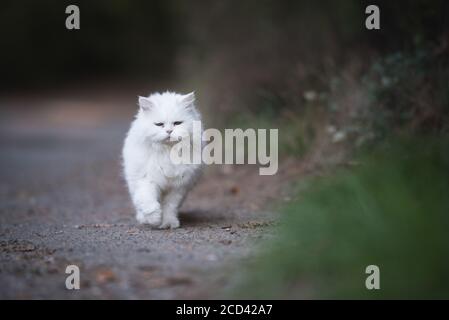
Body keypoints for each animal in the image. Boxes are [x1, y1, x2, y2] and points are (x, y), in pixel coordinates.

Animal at [121, 91, 201, 229]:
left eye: (177, 123)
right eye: (159, 124)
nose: (169, 131)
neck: (167, 153)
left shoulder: (178, 187)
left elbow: (169, 207)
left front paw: (169, 223)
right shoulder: (147, 179)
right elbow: (148, 202)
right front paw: (154, 220)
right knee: (138, 202)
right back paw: (143, 219)